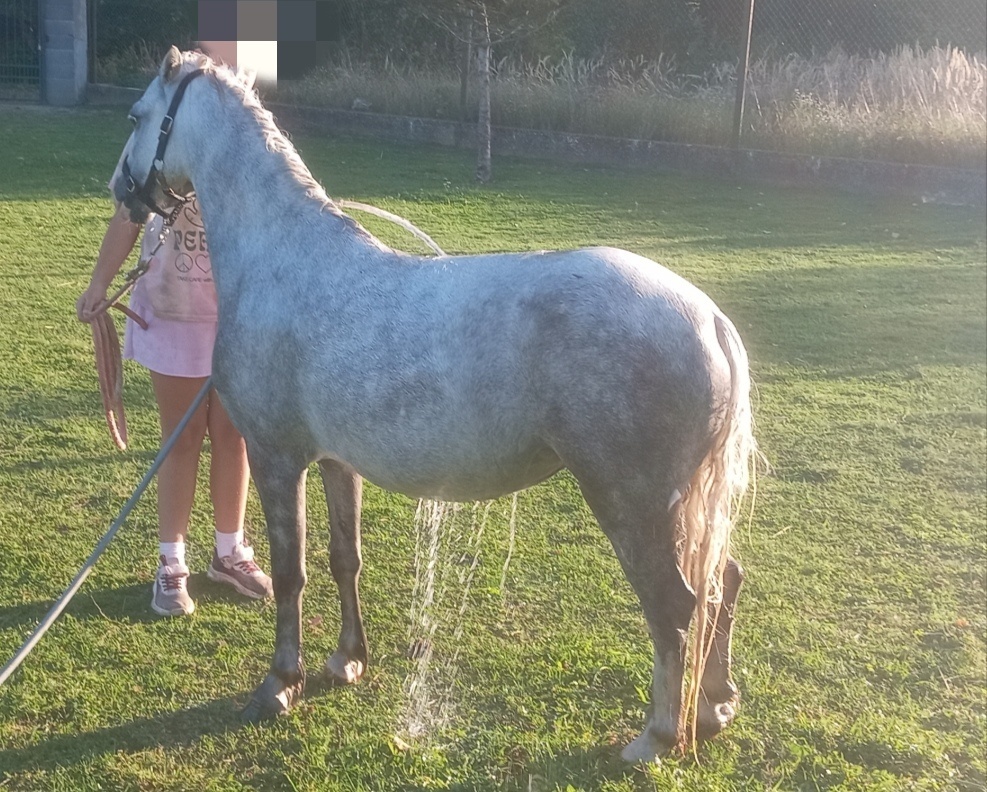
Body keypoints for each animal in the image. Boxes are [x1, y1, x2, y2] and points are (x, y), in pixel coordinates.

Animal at [111, 46, 757, 762]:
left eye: (137, 115)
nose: (121, 191)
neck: (282, 258)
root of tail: (709, 319)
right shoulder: (336, 461)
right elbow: (344, 559)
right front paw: (346, 661)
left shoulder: (278, 459)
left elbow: (290, 572)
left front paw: (280, 684)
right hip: (682, 504)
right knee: (722, 580)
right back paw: (714, 706)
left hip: (632, 503)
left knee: (675, 605)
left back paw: (657, 735)